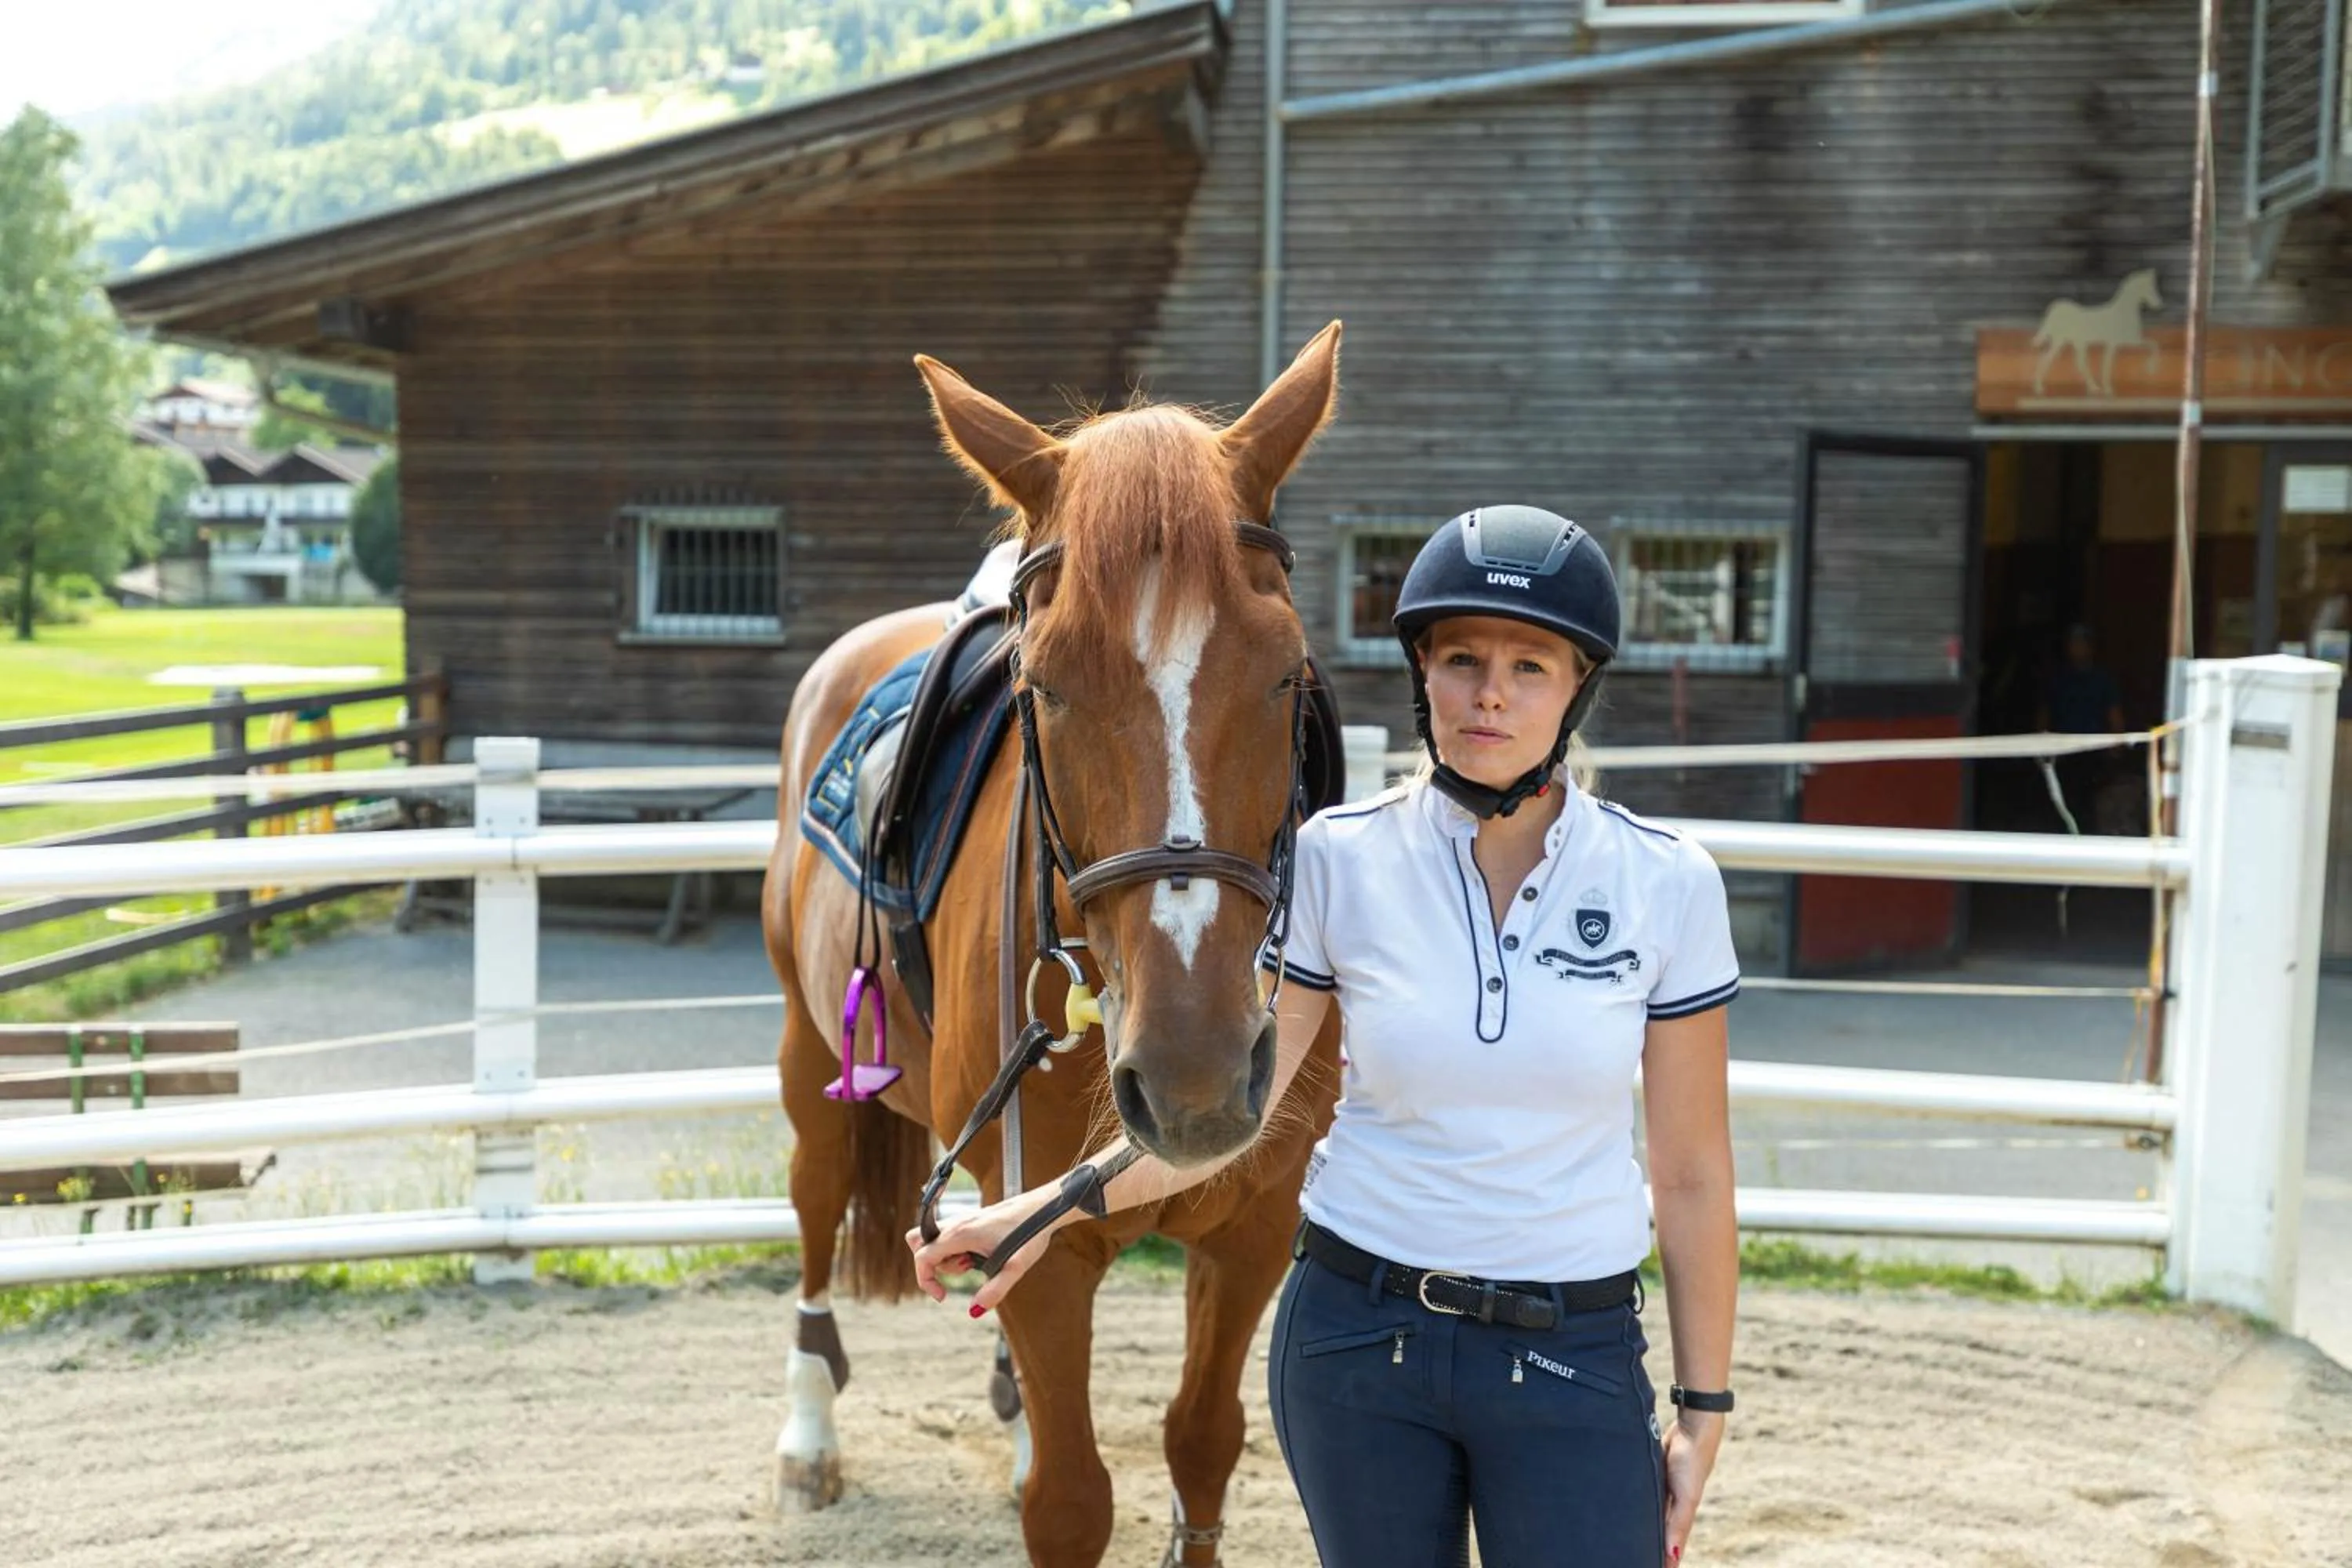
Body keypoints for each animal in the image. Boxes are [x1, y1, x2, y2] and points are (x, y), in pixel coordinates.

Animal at [761, 323, 1348, 1567]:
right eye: (1044, 682)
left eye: (1286, 671)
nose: (1193, 1078)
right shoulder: (1049, 1256)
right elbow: (1071, 1501)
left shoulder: (1250, 1229)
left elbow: (1201, 1446)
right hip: (811, 1057)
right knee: (814, 1208)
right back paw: (808, 1437)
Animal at [2031, 267, 2164, 396]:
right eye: (2150, 288)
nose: (2159, 305)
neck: (2122, 314)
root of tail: (2057, 311)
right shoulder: (2120, 342)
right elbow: (2151, 345)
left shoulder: (2126, 341)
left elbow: (2152, 344)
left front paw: (2149, 369)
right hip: (2067, 342)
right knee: (2055, 360)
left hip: (2070, 343)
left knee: (2056, 360)